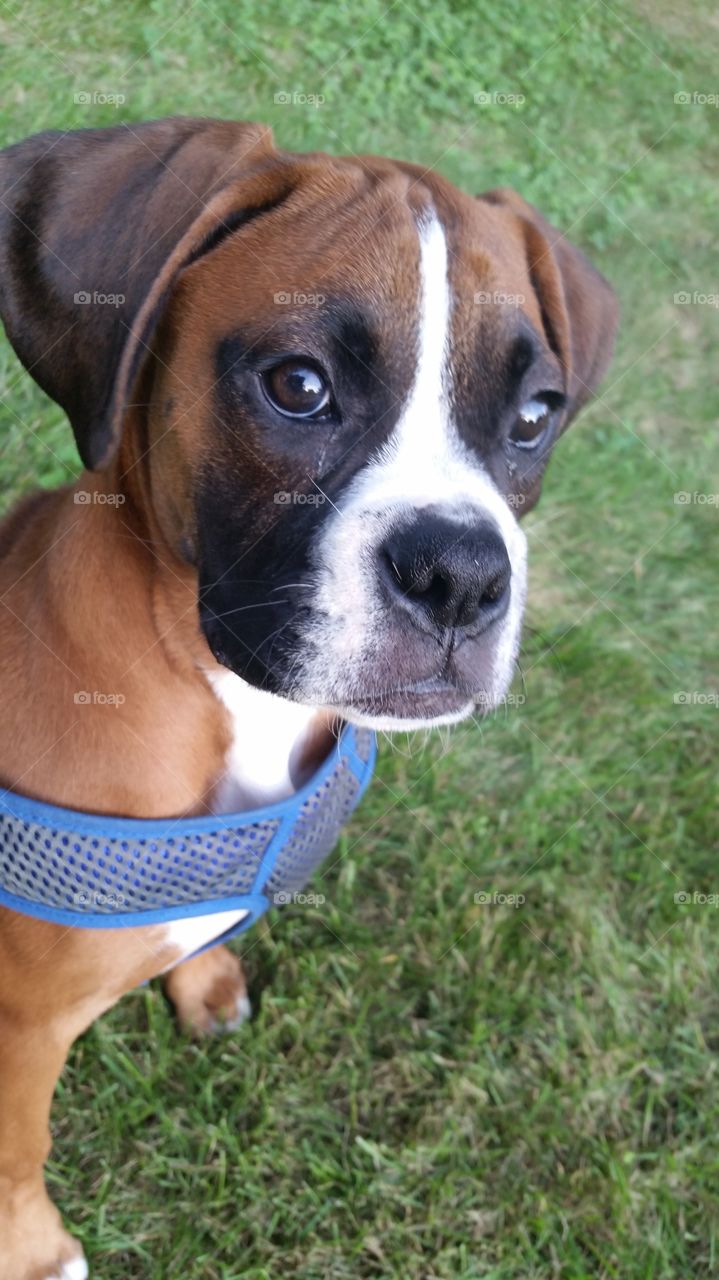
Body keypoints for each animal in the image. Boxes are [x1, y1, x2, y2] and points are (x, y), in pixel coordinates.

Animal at [0, 115, 616, 1274]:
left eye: (533, 415)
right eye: (298, 385)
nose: (461, 574)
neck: (222, 692)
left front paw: (203, 982)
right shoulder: (20, 1021)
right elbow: (21, 1144)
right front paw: (32, 1245)